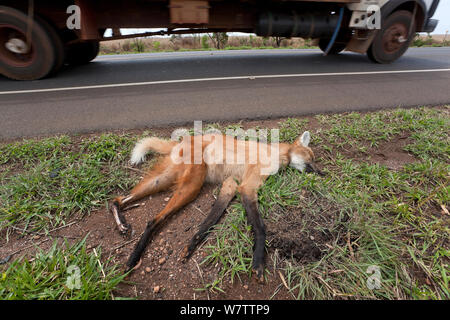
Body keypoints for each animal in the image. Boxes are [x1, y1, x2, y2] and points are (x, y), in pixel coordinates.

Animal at [110, 131, 322, 282]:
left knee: (117, 200)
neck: (277, 153)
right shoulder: (247, 188)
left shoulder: (231, 185)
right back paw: (132, 260)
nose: (322, 174)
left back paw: (122, 227)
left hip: (166, 179)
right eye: (311, 158)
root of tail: (184, 140)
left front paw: (190, 246)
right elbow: (261, 228)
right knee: (154, 220)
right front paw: (258, 263)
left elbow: (209, 222)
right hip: (192, 185)